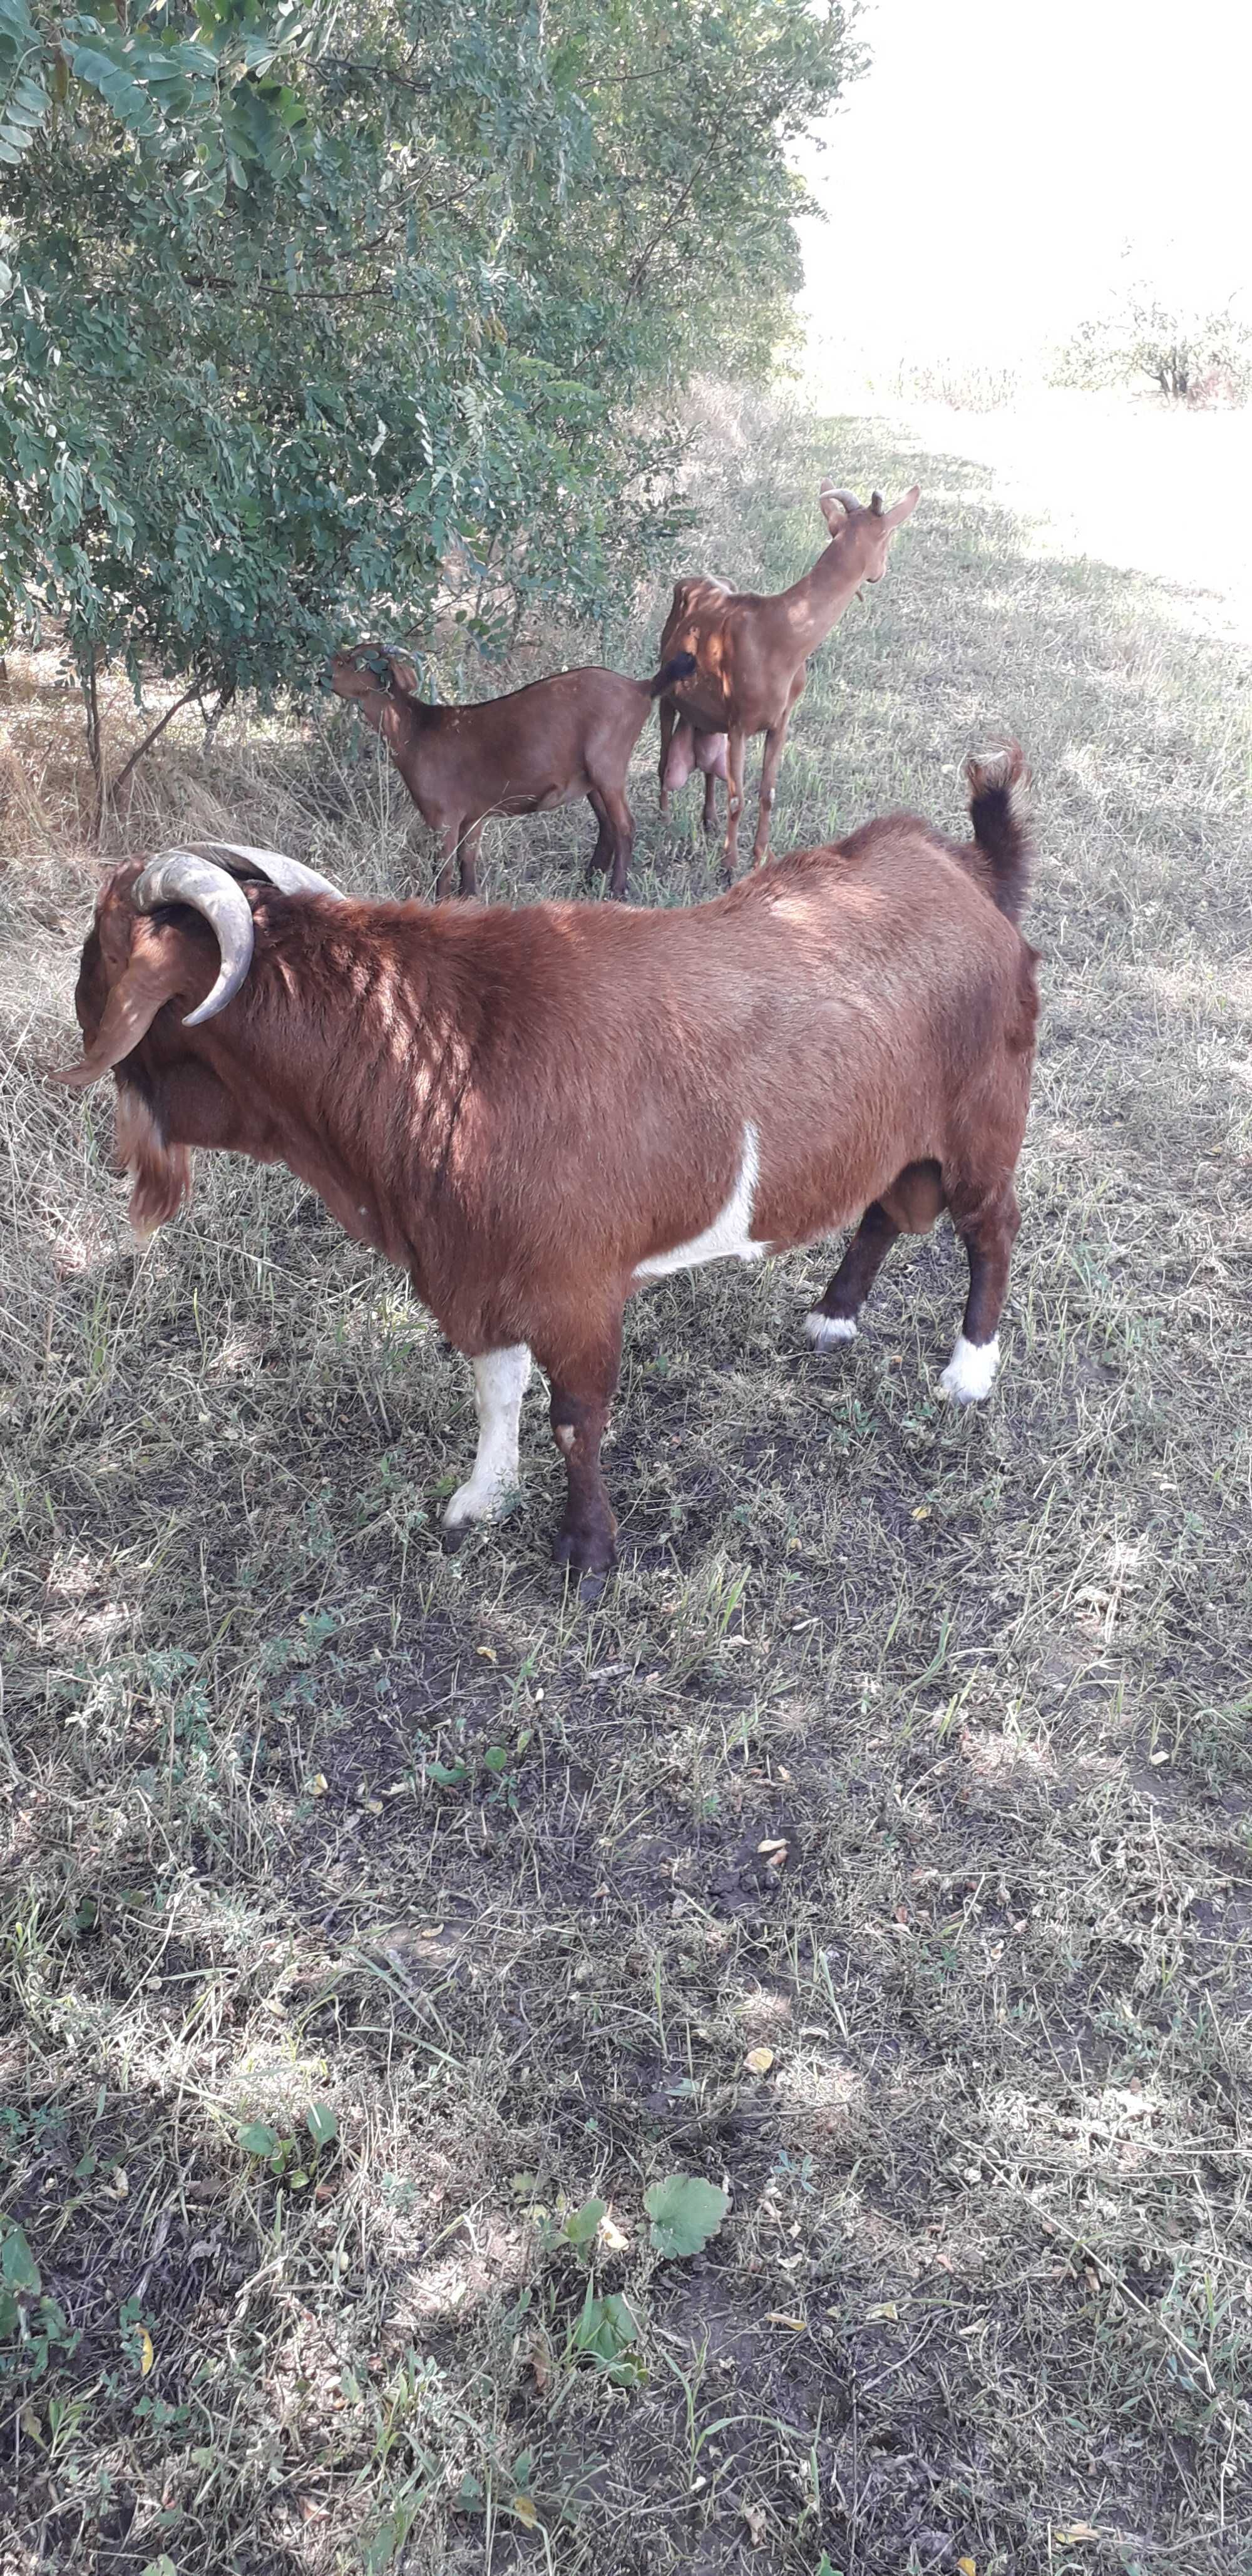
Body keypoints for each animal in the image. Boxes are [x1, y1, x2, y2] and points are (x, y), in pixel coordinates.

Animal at [56, 747, 1035, 1576]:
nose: (76, 1019)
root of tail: (963, 868)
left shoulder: (575, 1286)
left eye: (97, 960)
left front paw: (587, 1553)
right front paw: (483, 1499)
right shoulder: (473, 1271)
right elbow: (497, 1392)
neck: (439, 1055)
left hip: (983, 1125)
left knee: (990, 1230)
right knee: (883, 1210)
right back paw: (832, 1318)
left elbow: (576, 1420)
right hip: (897, 1136)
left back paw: (969, 1373)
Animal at [327, 638, 700, 901]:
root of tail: (639, 688)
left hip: (608, 766)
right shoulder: (473, 815)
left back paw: (616, 892)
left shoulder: (443, 816)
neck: (417, 729)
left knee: (625, 825)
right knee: (608, 825)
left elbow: (443, 870)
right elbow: (467, 862)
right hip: (591, 779)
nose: (323, 674)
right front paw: (469, 901)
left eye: (361, 661)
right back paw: (587, 882)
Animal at [654, 481, 917, 876]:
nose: (882, 571)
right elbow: (739, 798)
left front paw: (761, 857)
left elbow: (767, 793)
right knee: (664, 756)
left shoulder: (781, 722)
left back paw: (709, 819)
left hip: (708, 718)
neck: (781, 637)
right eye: (887, 537)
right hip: (669, 692)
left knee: (708, 765)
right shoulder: (739, 723)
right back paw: (666, 816)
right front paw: (729, 865)